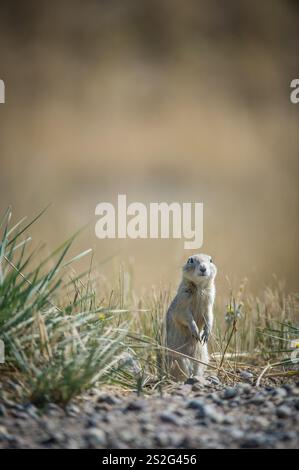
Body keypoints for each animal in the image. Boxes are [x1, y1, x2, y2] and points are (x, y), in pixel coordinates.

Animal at [165, 253, 217, 382]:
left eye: (211, 260)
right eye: (191, 260)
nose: (203, 268)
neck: (199, 288)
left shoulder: (209, 302)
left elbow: (209, 316)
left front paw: (206, 333)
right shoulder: (182, 302)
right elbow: (185, 316)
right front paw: (195, 331)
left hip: (202, 358)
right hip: (180, 360)